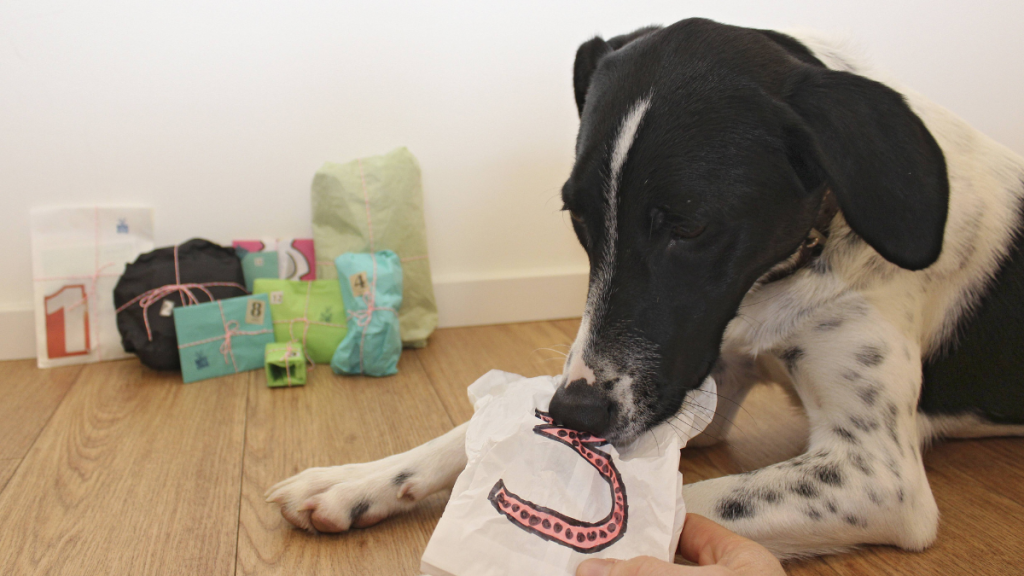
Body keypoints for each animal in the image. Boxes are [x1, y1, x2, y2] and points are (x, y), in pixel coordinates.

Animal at [268, 20, 1024, 553]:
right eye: (577, 213)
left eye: (688, 226)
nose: (576, 413)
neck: (778, 277)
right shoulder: (695, 380)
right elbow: (474, 429)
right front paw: (359, 479)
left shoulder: (874, 475)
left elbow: (688, 505)